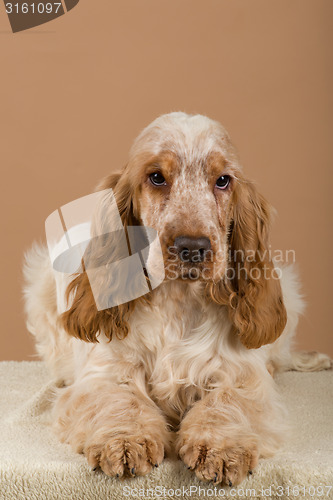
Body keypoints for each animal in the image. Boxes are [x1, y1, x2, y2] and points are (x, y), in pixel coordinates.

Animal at [22, 112, 330, 484]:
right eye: (156, 177)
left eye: (223, 181)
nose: (192, 247)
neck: (178, 302)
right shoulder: (106, 373)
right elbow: (119, 399)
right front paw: (125, 441)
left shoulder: (241, 377)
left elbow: (226, 403)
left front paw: (221, 449)